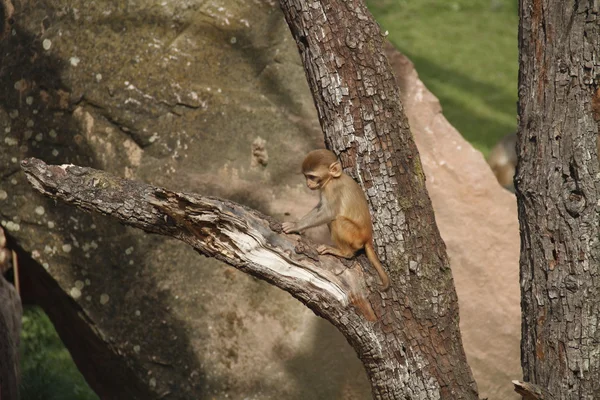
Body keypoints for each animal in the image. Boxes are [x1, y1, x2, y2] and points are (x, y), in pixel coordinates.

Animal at [284, 150, 392, 290]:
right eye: (306, 176)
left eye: (312, 177)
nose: (308, 184)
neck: (333, 178)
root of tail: (368, 237)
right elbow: (320, 207)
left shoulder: (332, 189)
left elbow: (328, 213)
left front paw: (295, 225)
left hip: (355, 236)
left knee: (336, 221)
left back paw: (344, 252)